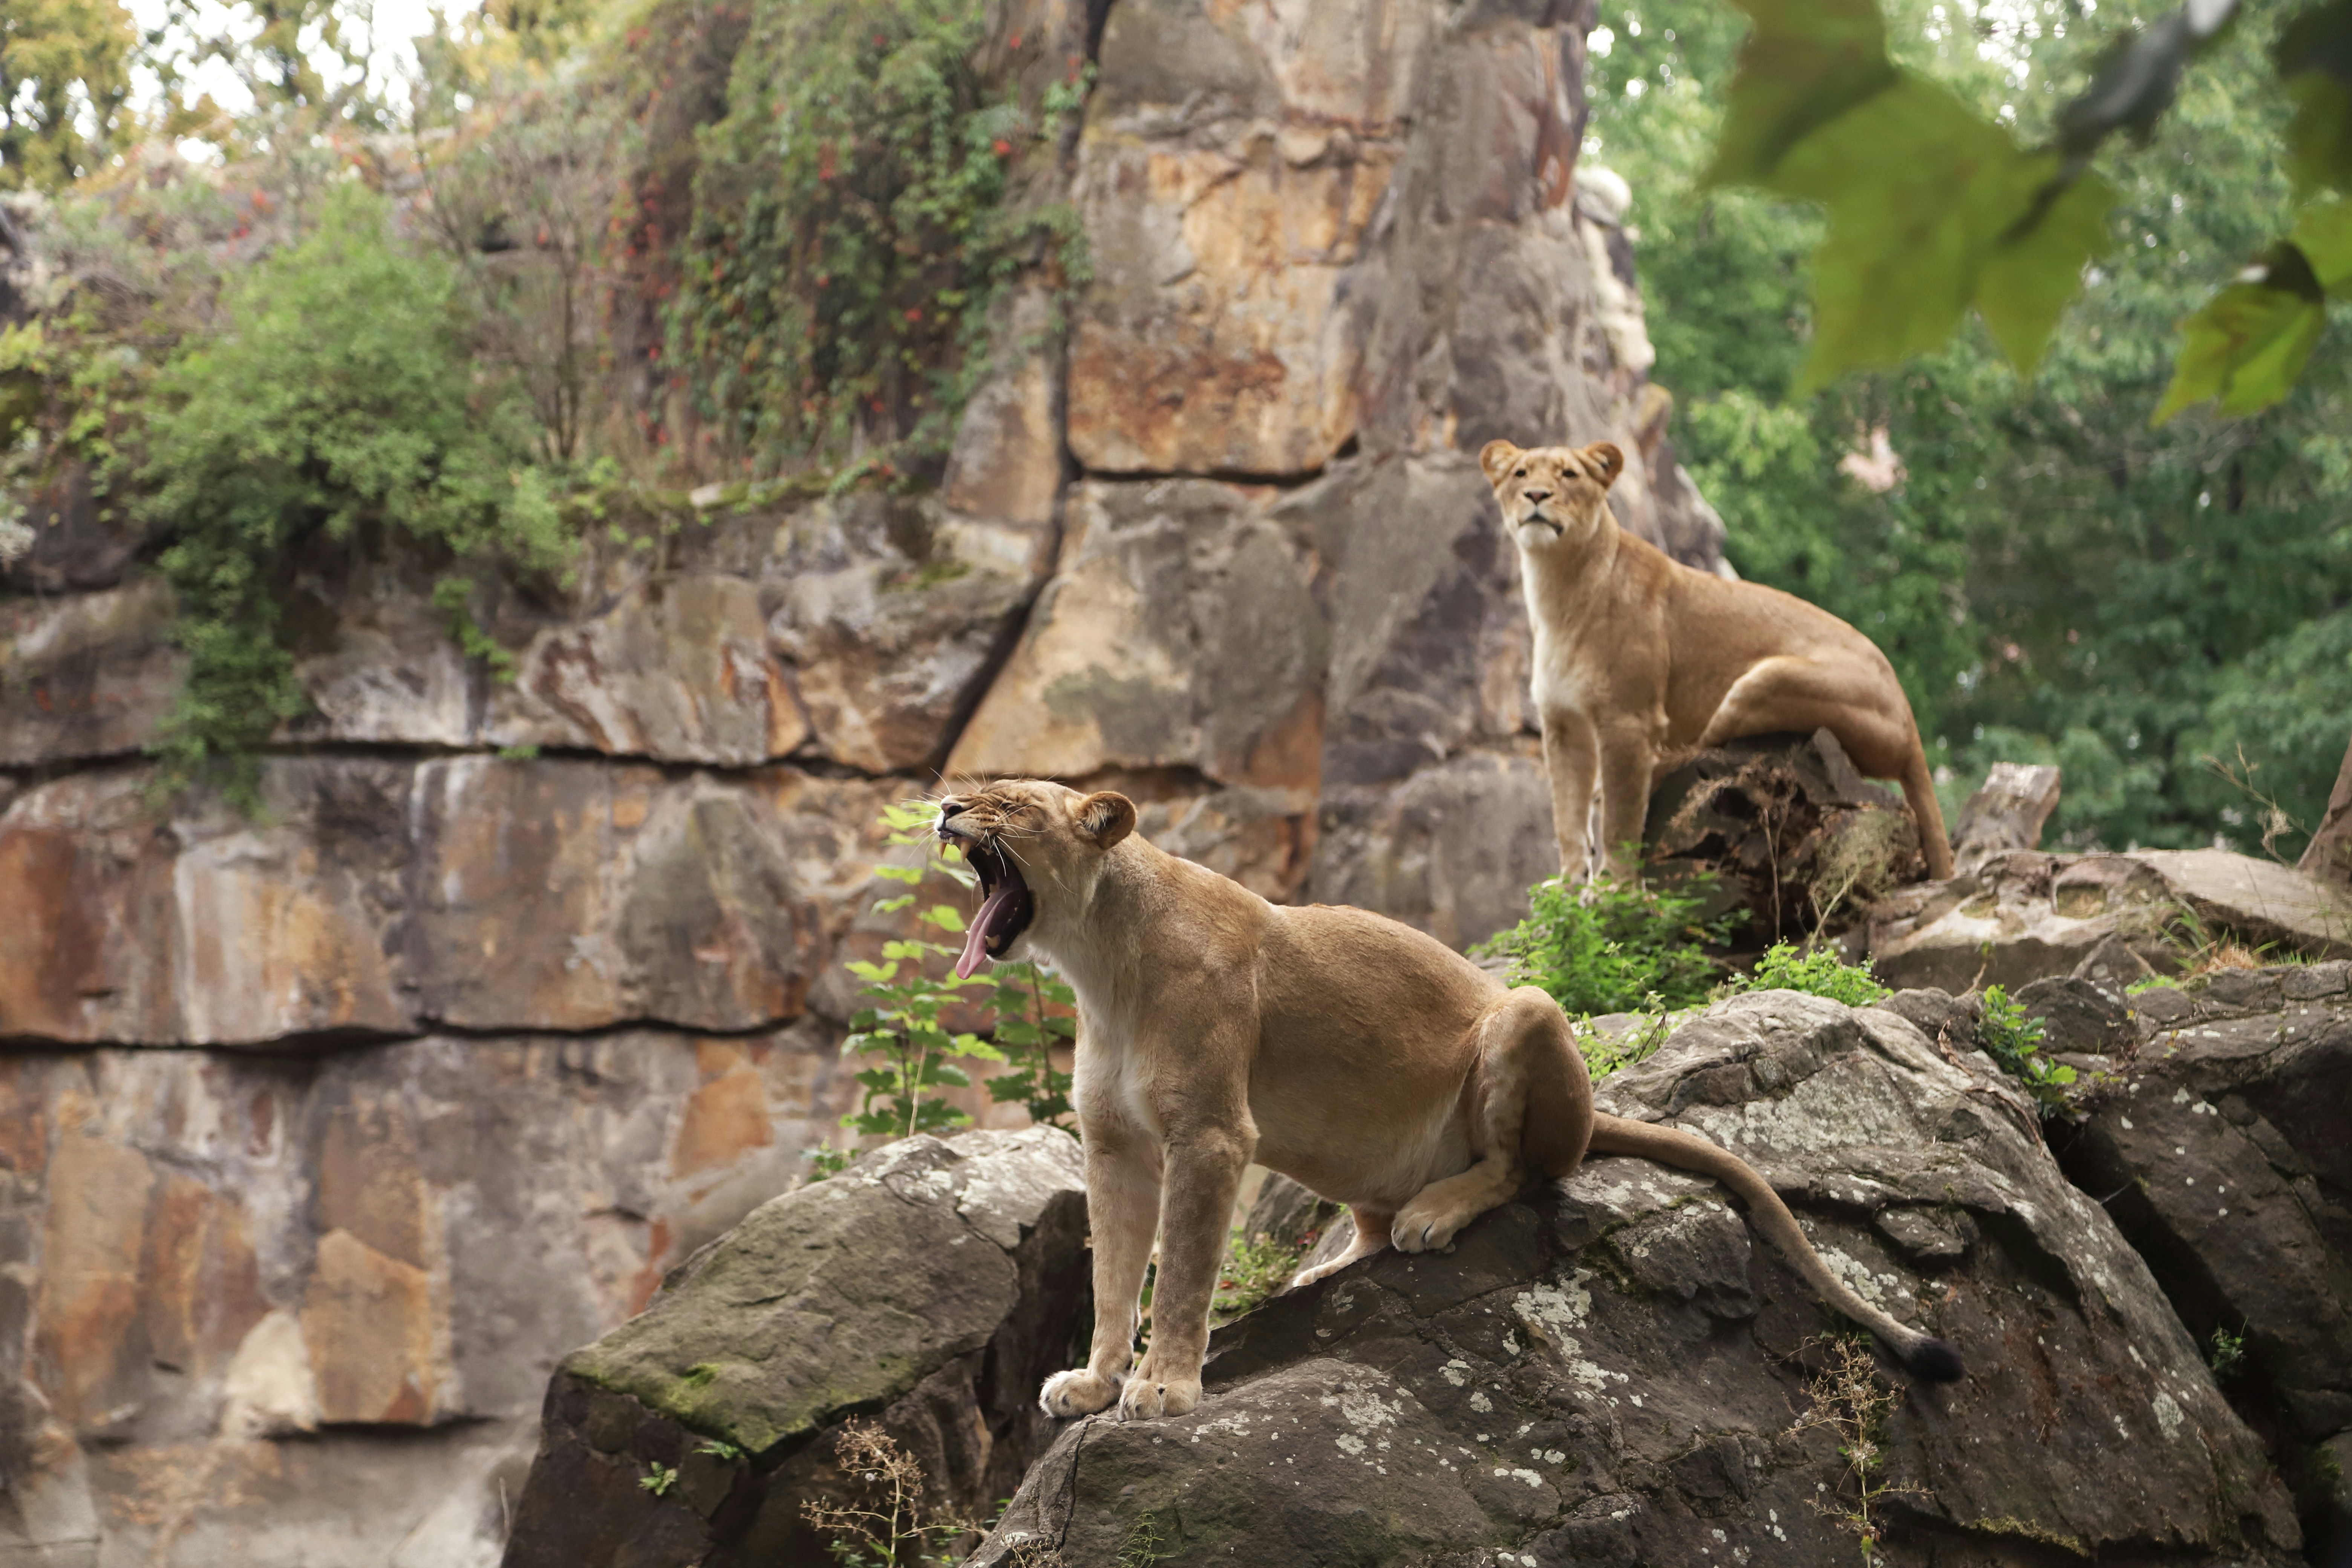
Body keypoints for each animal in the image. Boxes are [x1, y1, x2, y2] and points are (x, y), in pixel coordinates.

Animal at [933, 779, 1962, 1424]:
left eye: (1008, 801)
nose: (944, 807)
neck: (1098, 959)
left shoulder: (1212, 1135)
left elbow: (1182, 1272)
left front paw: (1165, 1388)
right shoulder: (1115, 1145)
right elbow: (1113, 1277)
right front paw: (1094, 1382)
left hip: (1527, 1011)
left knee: (1522, 1169)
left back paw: (1437, 1212)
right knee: (1375, 1219)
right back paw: (1330, 1265)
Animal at [1482, 438, 1954, 883]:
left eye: (1569, 474)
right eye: (1521, 473)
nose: (1536, 495)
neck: (1557, 587)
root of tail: (1911, 724)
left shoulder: (1627, 719)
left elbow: (1620, 824)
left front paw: (1616, 890)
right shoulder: (1563, 724)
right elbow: (1566, 816)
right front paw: (1567, 885)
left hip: (1770, 679)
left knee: (1701, 747)